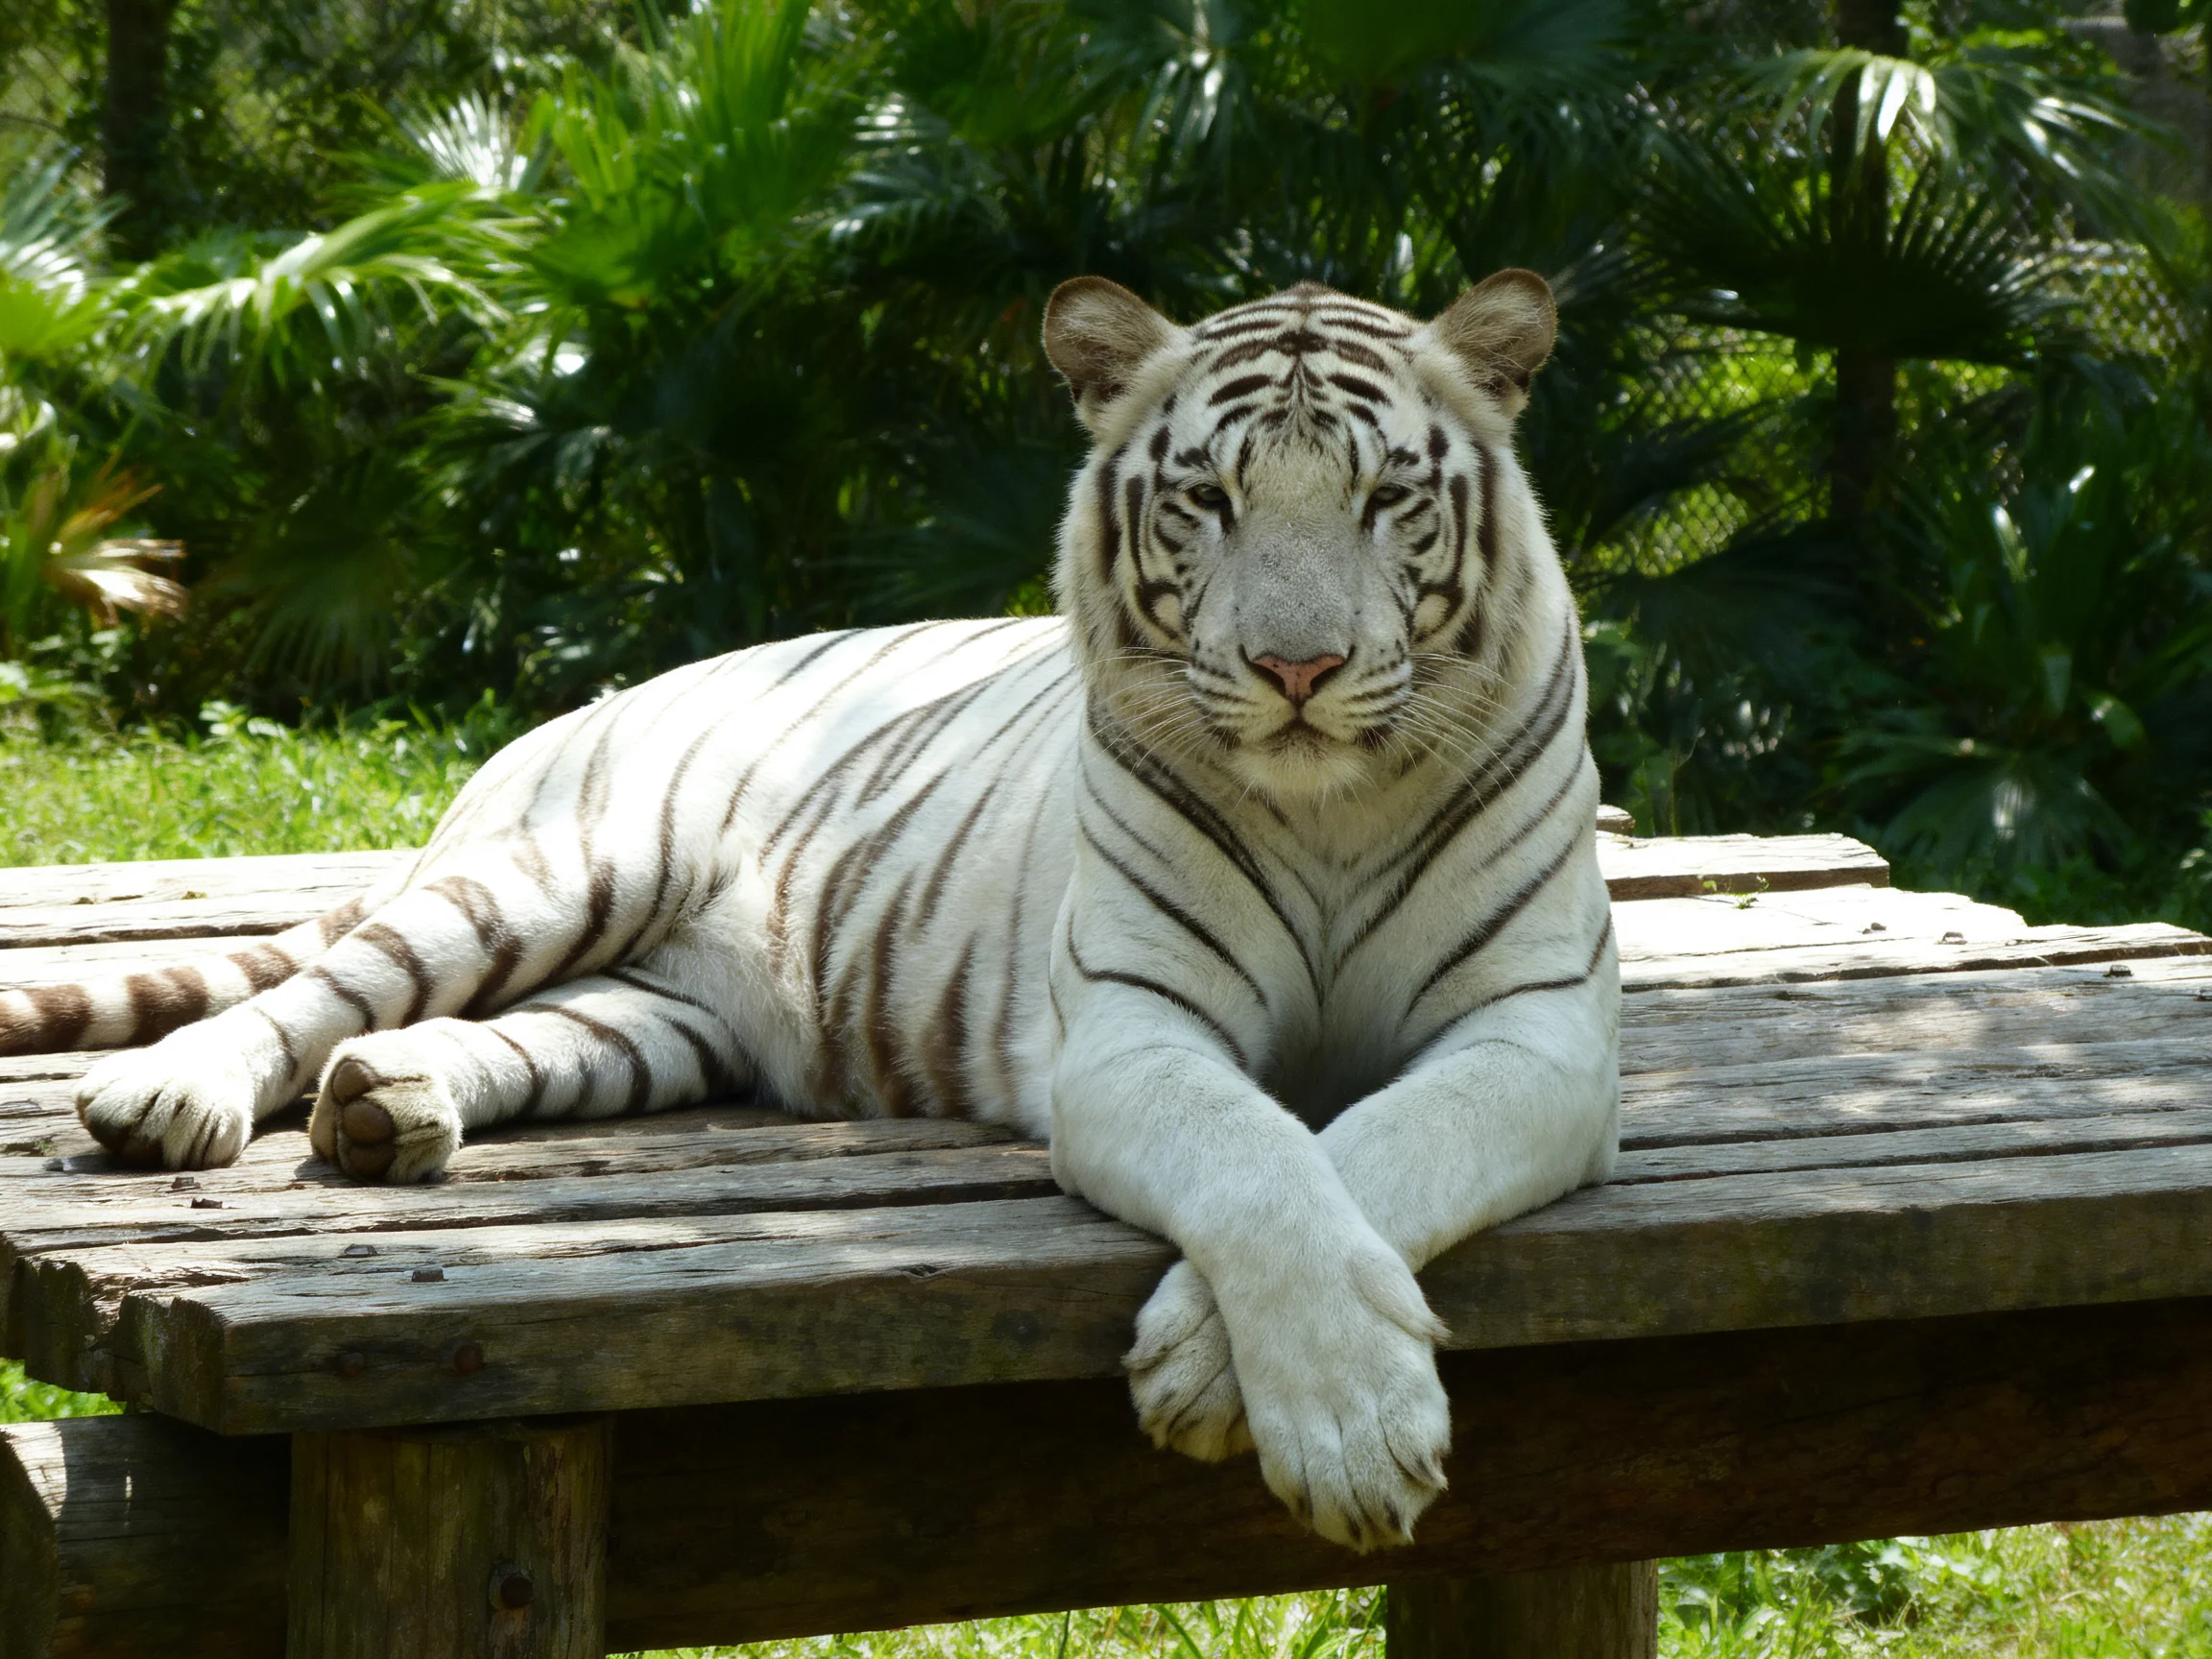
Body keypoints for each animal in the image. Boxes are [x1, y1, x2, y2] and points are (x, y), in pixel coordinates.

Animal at [1, 270, 1620, 1553]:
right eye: (1208, 501)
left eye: (1385, 501)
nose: (1297, 669)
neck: (1330, 804)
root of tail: (577, 715)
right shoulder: (1135, 1034)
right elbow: (1267, 1164)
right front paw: (1344, 1425)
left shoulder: (1539, 1041)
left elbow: (1382, 1144)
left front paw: (1279, 1394)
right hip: (559, 872)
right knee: (313, 994)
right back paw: (171, 1096)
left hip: (659, 1019)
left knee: (487, 1037)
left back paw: (385, 1110)